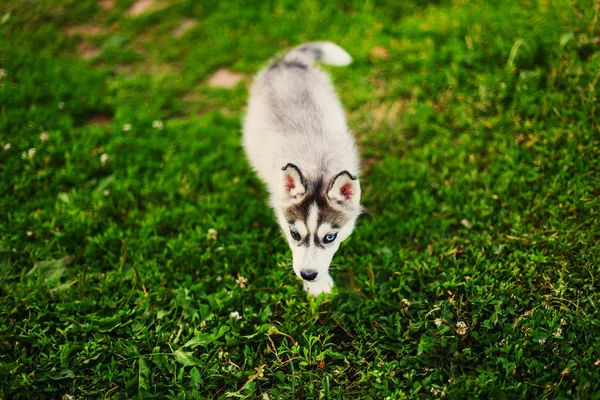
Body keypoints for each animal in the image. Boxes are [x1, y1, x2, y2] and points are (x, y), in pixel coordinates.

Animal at [244, 42, 360, 296]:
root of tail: (287, 61)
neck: (317, 166)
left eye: (330, 237)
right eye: (295, 234)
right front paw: (316, 286)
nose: (308, 275)